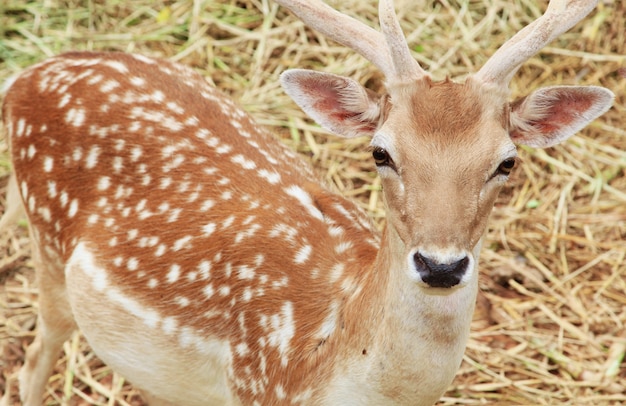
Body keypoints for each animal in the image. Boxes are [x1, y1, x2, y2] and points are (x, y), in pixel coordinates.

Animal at [0, 0, 616, 404]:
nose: (440, 265)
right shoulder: (257, 386)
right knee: (28, 368)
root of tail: (26, 76)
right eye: (380, 152)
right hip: (48, 245)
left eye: (506, 161)